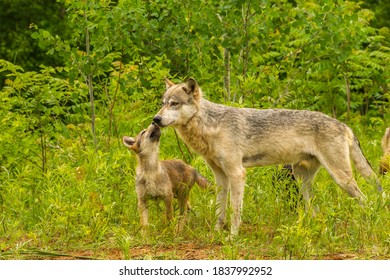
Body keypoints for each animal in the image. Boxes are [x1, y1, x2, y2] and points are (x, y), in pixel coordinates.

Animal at [152, 77, 380, 235]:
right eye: (163, 103)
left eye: (174, 104)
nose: (155, 119)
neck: (211, 126)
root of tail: (343, 125)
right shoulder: (220, 178)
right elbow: (220, 210)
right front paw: (215, 234)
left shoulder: (237, 174)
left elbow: (235, 211)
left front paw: (232, 238)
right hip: (302, 179)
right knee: (315, 209)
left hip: (341, 179)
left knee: (366, 200)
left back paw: (367, 224)